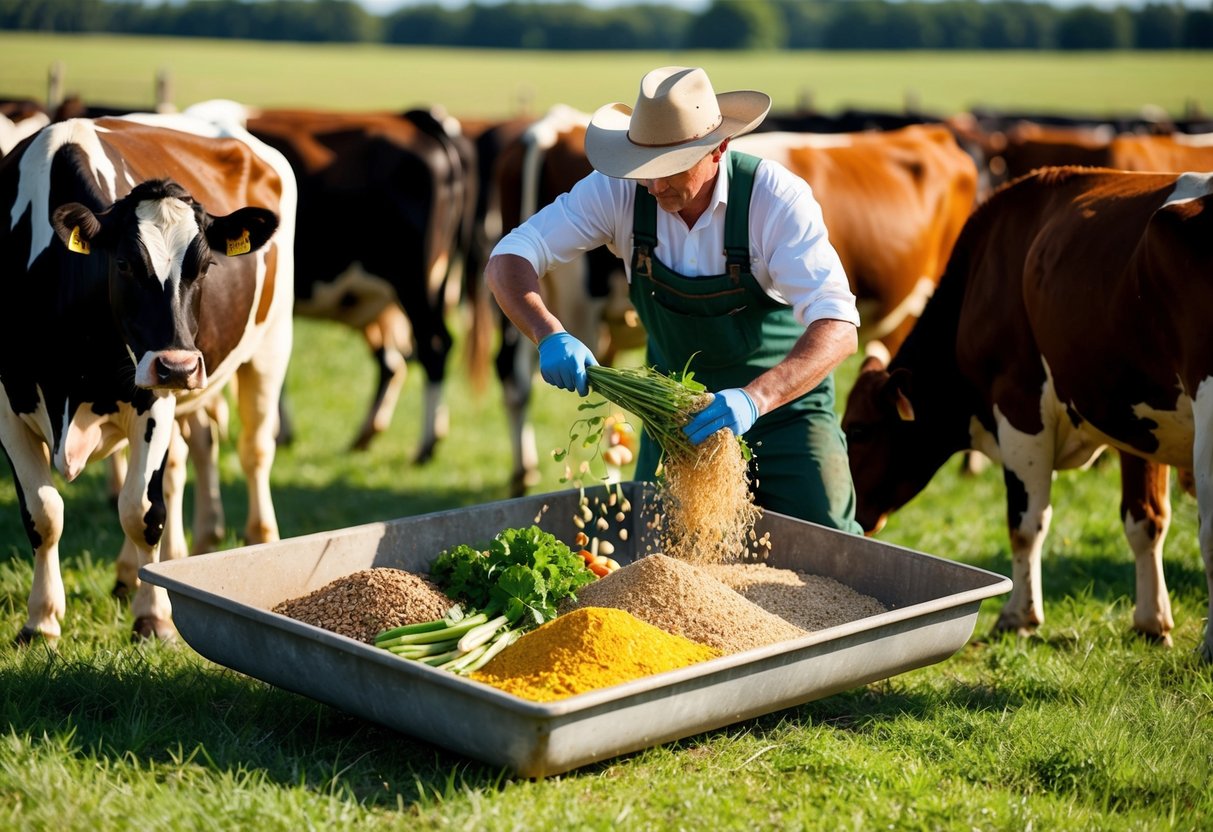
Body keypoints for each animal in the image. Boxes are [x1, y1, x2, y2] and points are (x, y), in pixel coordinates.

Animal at [0, 114, 293, 640]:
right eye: (123, 264)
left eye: (206, 266)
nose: (177, 366)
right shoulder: (7, 404)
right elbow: (42, 514)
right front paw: (41, 621)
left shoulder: (152, 402)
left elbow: (141, 512)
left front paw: (155, 618)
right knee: (184, 461)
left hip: (270, 346)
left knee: (254, 452)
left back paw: (259, 540)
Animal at [844, 166, 1213, 659]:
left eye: (858, 430)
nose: (850, 517)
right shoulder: (1136, 418)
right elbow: (1146, 520)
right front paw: (1151, 622)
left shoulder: (1020, 408)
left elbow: (1025, 523)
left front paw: (1019, 616)